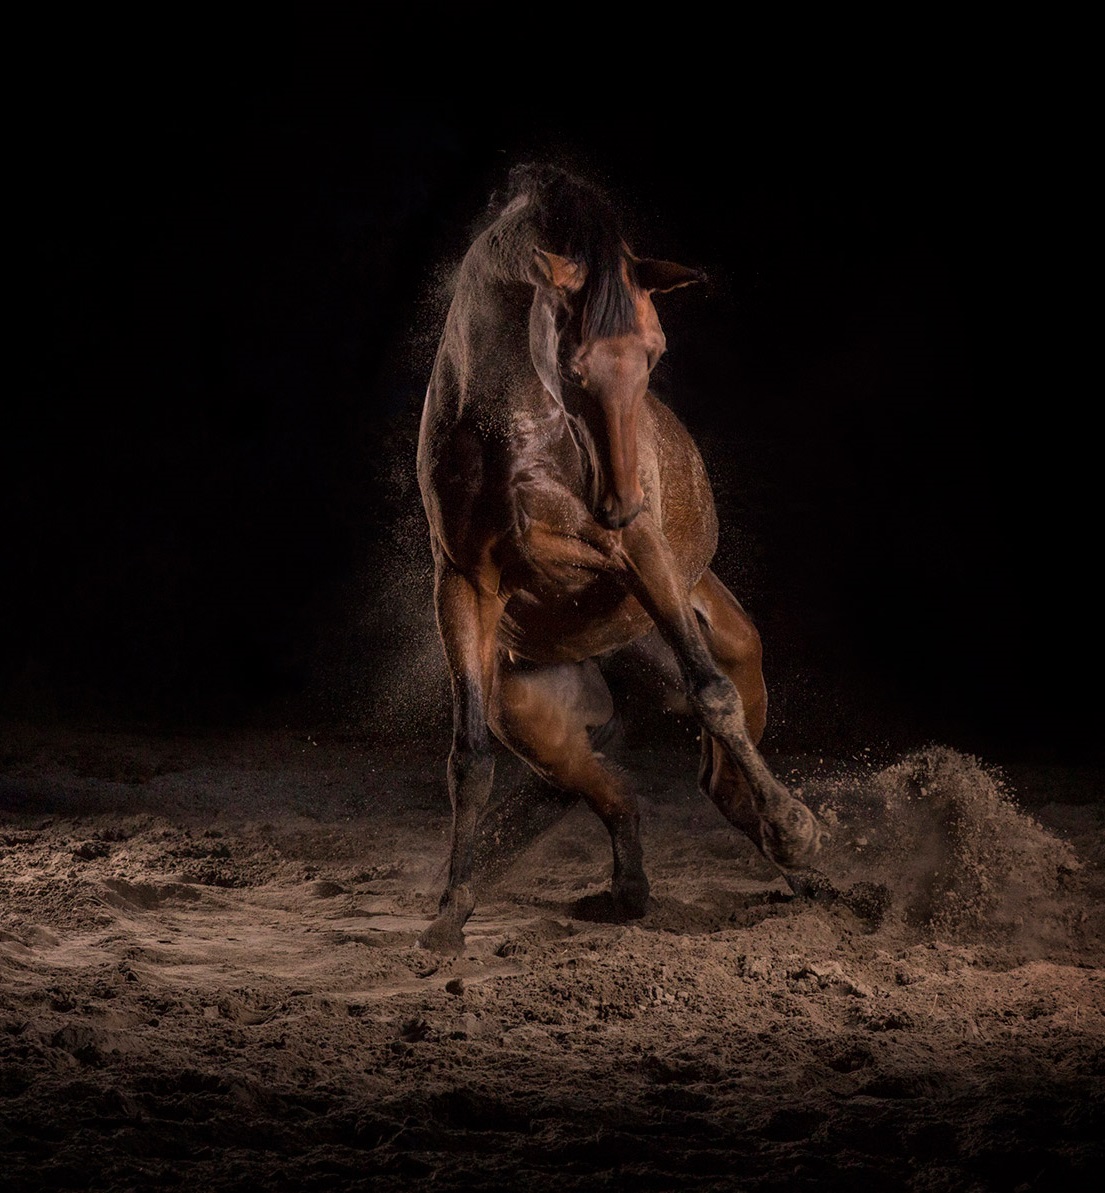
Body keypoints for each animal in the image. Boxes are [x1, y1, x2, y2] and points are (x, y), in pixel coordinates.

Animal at [416, 163, 830, 954]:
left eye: (654, 352)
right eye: (572, 364)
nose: (621, 500)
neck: (514, 428)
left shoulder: (642, 556)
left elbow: (712, 695)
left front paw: (798, 830)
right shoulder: (463, 584)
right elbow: (468, 758)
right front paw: (448, 914)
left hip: (728, 646)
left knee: (723, 773)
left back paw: (809, 867)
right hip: (540, 727)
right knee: (618, 792)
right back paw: (627, 893)